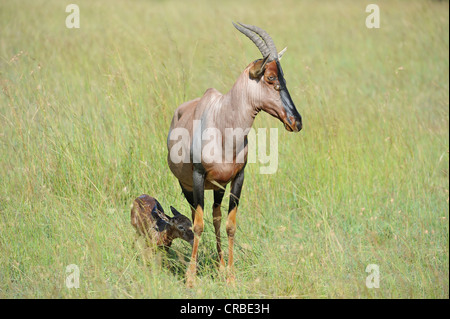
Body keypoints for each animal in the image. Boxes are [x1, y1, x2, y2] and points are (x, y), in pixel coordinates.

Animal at [166, 22, 302, 288]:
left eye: (283, 76)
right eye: (270, 77)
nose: (296, 121)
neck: (222, 121)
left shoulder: (238, 178)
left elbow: (230, 225)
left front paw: (229, 276)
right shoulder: (198, 176)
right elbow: (197, 226)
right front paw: (191, 278)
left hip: (218, 187)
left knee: (216, 217)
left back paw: (219, 266)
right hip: (187, 185)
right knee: (194, 216)